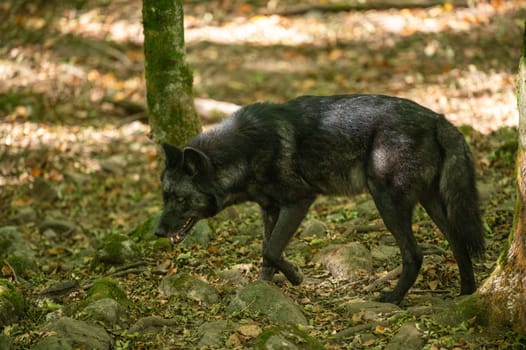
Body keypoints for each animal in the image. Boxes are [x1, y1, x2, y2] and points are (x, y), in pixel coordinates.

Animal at [157, 94, 486, 304]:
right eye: (164, 197)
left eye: (181, 200)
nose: (158, 232)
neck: (245, 151)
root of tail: (437, 119)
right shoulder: (269, 208)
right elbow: (266, 251)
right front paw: (263, 290)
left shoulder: (300, 200)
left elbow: (272, 250)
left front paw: (296, 277)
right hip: (431, 204)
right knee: (458, 242)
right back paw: (466, 294)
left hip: (386, 202)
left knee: (414, 255)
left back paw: (393, 298)